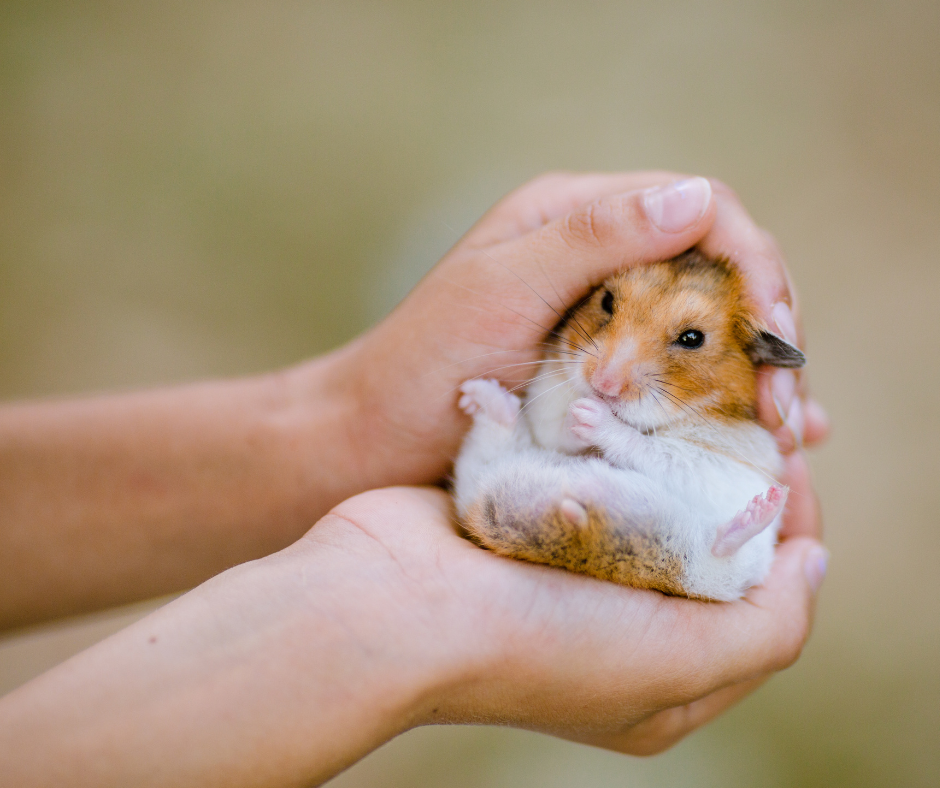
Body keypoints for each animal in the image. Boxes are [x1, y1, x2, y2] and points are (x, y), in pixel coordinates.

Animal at [452, 249, 804, 600]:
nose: (602, 385)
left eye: (692, 338)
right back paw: (479, 395)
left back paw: (764, 506)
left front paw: (590, 415)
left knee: (720, 552)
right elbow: (555, 430)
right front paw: (579, 412)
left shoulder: (722, 466)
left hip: (724, 568)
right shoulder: (544, 406)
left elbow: (653, 449)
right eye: (607, 301)